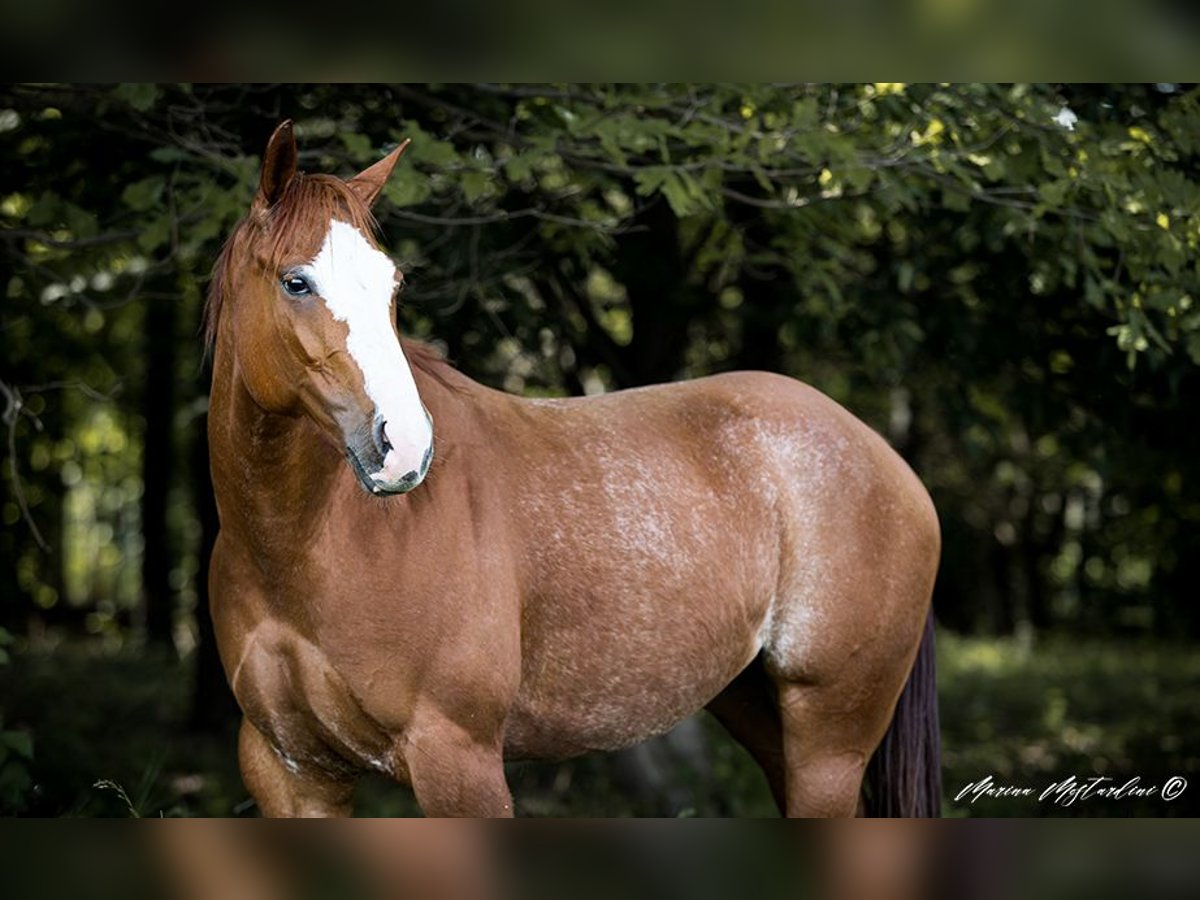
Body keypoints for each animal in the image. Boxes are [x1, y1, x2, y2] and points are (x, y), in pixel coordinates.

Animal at [205, 120, 942, 817]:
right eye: (295, 282)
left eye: (392, 284)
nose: (405, 446)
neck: (305, 551)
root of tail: (888, 461)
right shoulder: (294, 773)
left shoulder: (458, 761)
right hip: (758, 711)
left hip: (829, 740)